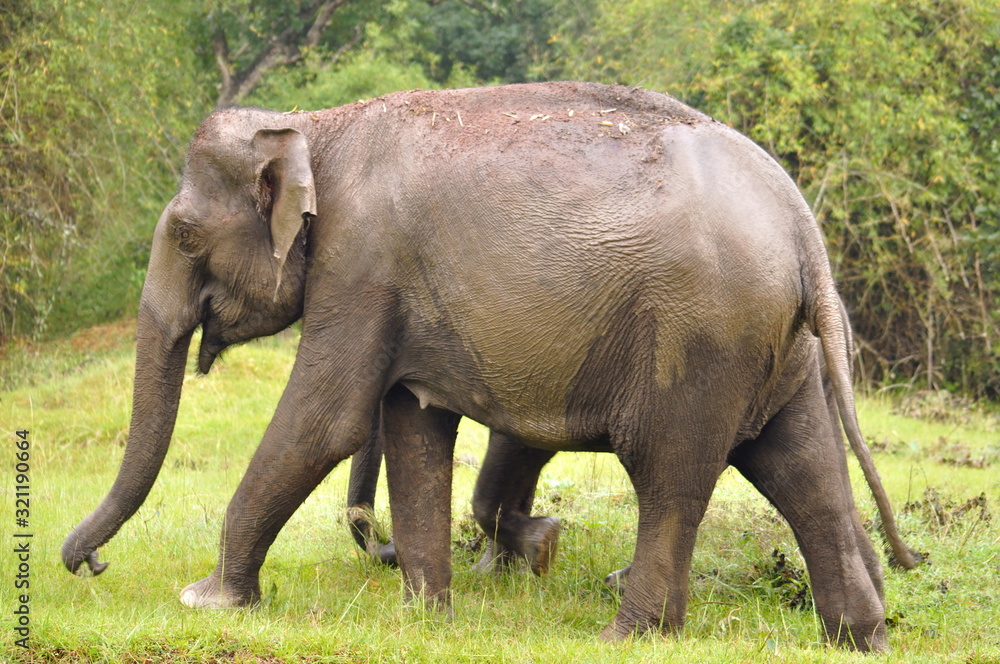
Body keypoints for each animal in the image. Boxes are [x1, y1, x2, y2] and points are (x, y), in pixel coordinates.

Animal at [61, 82, 918, 652]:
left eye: (184, 238)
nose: (89, 563)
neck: (314, 127)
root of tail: (801, 223)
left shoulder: (361, 263)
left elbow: (327, 419)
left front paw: (207, 602)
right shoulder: (394, 288)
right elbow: (411, 422)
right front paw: (425, 618)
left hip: (700, 336)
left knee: (670, 475)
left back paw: (624, 634)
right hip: (775, 347)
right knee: (801, 467)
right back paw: (860, 636)